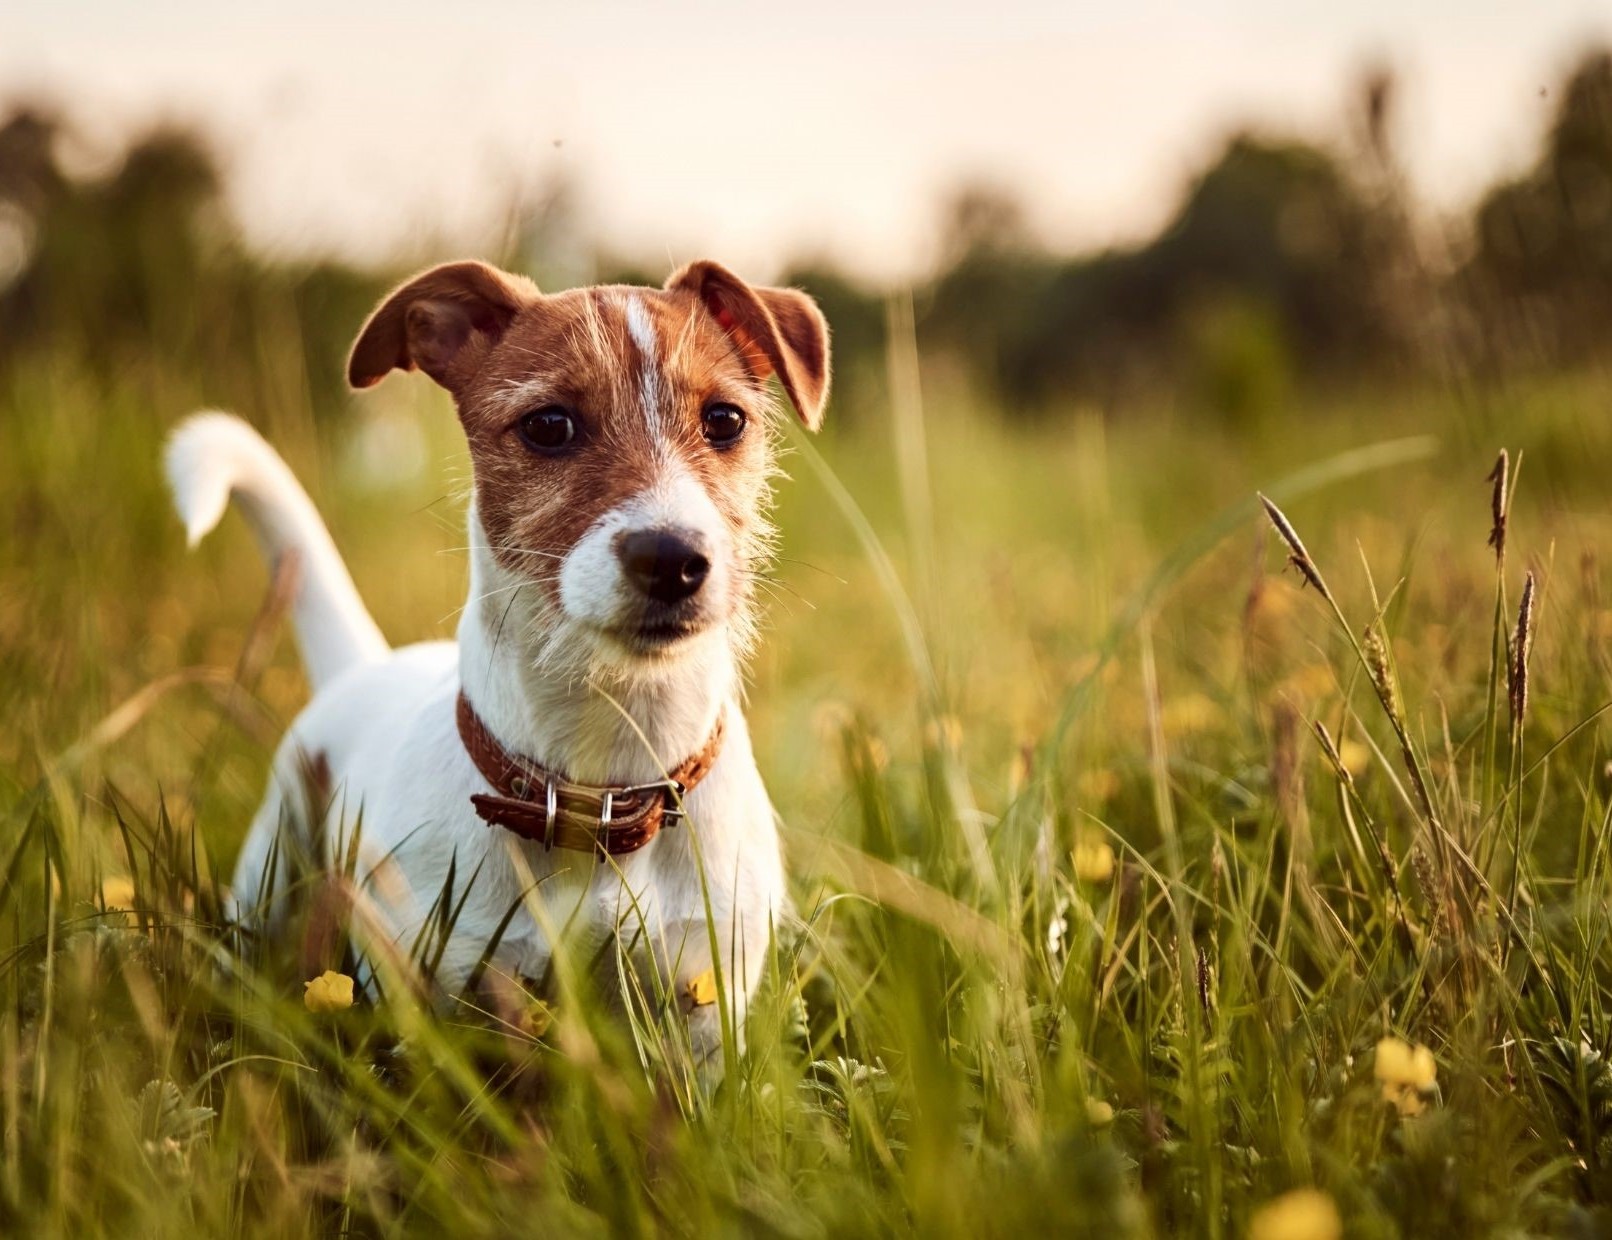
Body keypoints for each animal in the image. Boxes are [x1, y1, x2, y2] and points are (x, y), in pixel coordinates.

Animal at [166, 256, 831, 1057]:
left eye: (725, 420)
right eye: (548, 426)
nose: (671, 558)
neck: (604, 786)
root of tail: (366, 664)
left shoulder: (705, 1000)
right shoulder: (445, 992)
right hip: (269, 870)